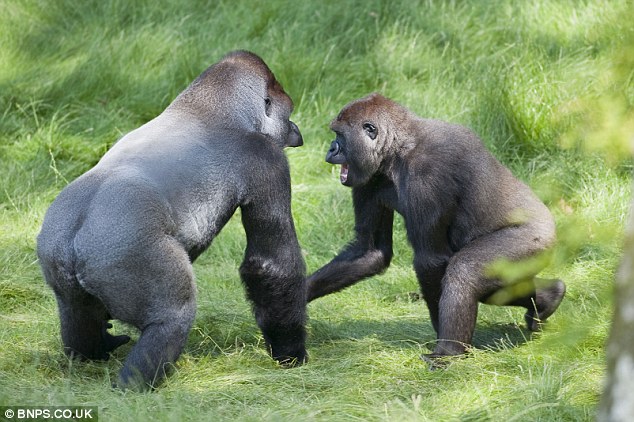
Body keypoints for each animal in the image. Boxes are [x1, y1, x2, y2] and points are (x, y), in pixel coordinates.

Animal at [35, 51, 308, 390]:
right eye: (288, 112)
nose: (296, 130)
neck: (207, 107)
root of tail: (73, 243)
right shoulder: (266, 158)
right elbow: (272, 264)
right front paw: (291, 353)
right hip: (127, 256)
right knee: (172, 315)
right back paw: (134, 385)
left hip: (55, 259)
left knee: (75, 313)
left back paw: (93, 351)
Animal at [306, 94, 564, 362]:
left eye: (339, 135)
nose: (331, 149)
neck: (400, 147)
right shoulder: (368, 178)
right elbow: (370, 250)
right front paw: (297, 295)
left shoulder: (426, 176)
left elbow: (430, 260)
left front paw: (442, 337)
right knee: (498, 287)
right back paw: (549, 297)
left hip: (536, 240)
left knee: (465, 271)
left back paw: (448, 352)